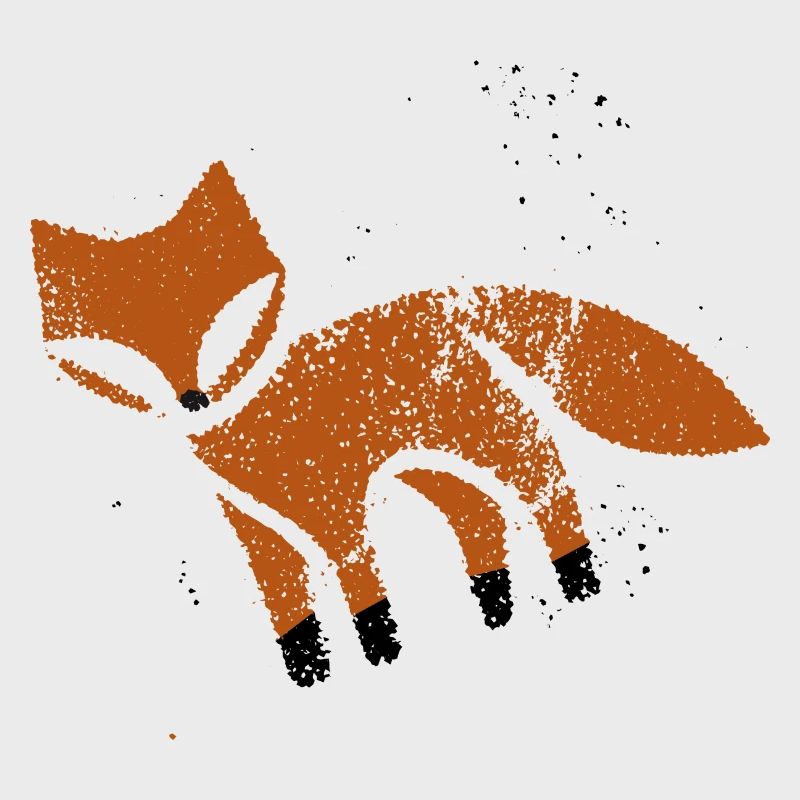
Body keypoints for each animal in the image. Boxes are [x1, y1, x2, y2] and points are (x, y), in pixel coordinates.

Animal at [31, 161, 769, 686]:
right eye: (123, 352)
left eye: (221, 324)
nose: (192, 398)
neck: (246, 433)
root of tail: (449, 294)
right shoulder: (253, 528)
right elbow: (289, 611)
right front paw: (308, 671)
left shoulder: (334, 505)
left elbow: (362, 589)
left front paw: (379, 649)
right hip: (426, 465)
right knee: (479, 515)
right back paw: (495, 605)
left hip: (484, 438)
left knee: (545, 478)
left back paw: (577, 578)